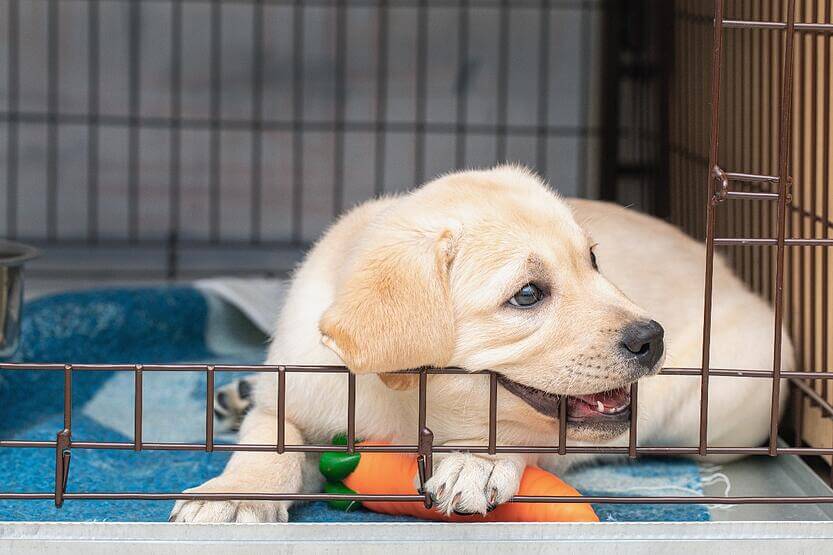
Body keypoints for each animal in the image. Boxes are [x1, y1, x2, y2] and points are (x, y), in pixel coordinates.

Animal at [171, 167, 792, 524]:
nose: (653, 337)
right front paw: (233, 494)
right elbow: (268, 440)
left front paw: (478, 461)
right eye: (528, 294)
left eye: (593, 261)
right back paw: (238, 394)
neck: (405, 407)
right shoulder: (297, 390)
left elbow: (515, 431)